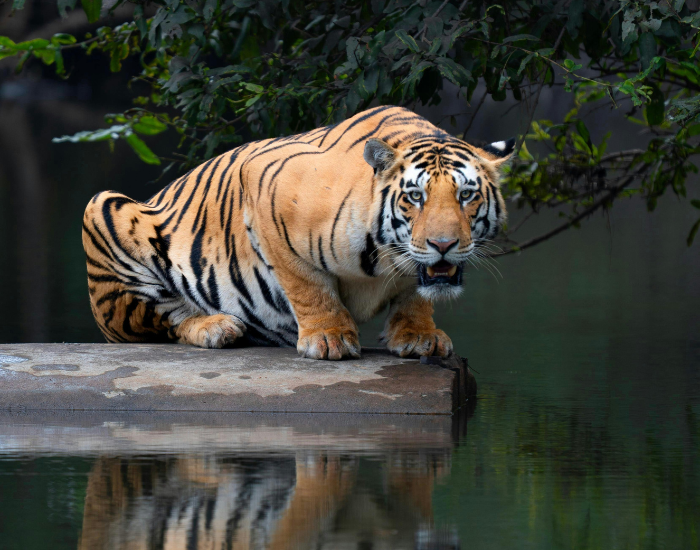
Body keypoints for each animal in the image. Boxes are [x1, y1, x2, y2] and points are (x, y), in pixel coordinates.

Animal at [83, 105, 513, 360]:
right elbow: (306, 284)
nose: (443, 245)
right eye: (415, 197)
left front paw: (419, 334)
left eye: (466, 195)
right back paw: (216, 326)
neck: (386, 257)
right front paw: (329, 338)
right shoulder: (263, 185)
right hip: (103, 211)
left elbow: (415, 293)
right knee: (163, 319)